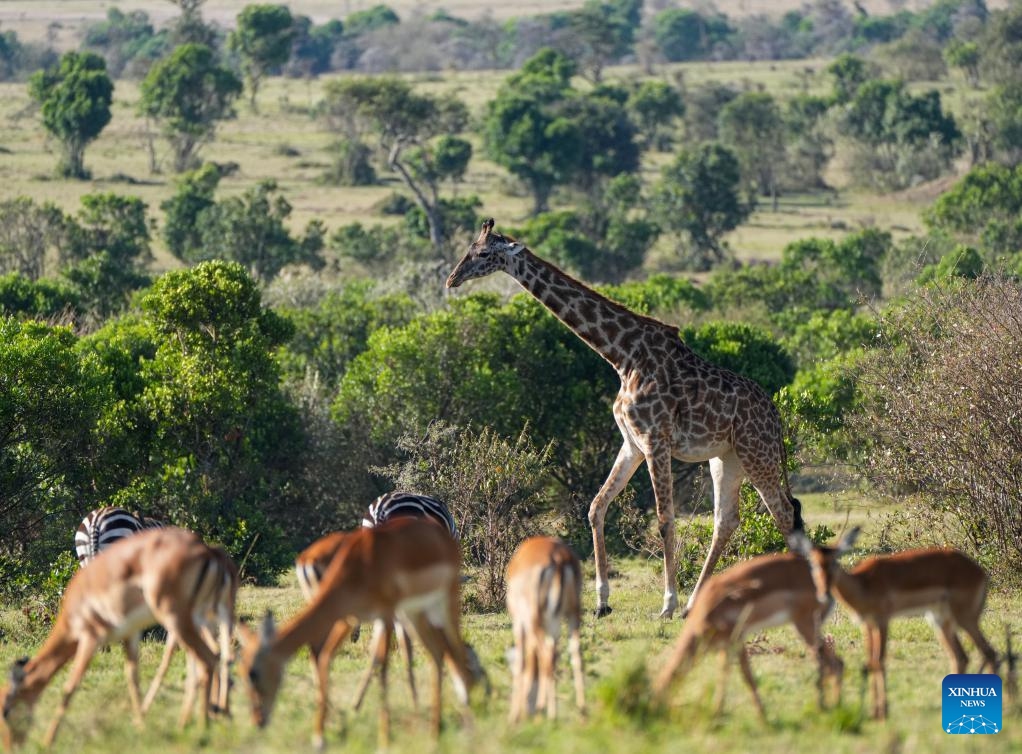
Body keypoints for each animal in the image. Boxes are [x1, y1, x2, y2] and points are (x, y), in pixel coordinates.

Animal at [447, 217, 805, 617]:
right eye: (469, 249)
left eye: (483, 253)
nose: (452, 279)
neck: (622, 356)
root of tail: (776, 416)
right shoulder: (631, 442)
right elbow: (596, 507)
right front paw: (602, 601)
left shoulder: (655, 440)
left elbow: (664, 520)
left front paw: (666, 603)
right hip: (725, 459)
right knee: (726, 520)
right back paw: (694, 604)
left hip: (756, 454)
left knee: (783, 512)